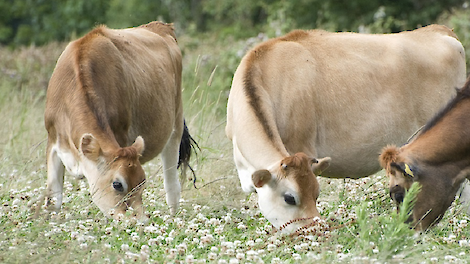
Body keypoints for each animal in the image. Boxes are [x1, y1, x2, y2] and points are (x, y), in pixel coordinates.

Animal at [44, 21, 195, 219]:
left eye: (142, 182)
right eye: (117, 184)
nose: (141, 221)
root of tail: (160, 26)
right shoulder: (53, 142)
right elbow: (53, 201)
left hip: (175, 124)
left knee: (172, 187)